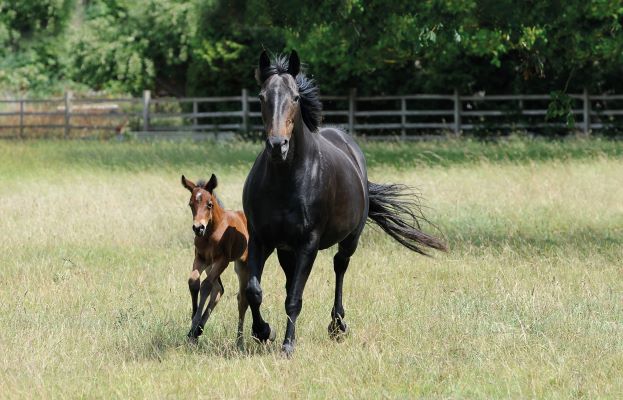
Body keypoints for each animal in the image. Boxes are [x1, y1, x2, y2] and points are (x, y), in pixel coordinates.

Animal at [180, 173, 249, 346]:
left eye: (209, 204)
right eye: (191, 204)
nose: (198, 228)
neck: (212, 232)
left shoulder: (222, 260)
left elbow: (205, 286)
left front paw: (194, 323)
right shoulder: (201, 258)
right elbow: (193, 282)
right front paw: (193, 322)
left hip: (242, 265)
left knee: (241, 298)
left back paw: (239, 341)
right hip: (212, 265)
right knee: (219, 289)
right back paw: (198, 330)